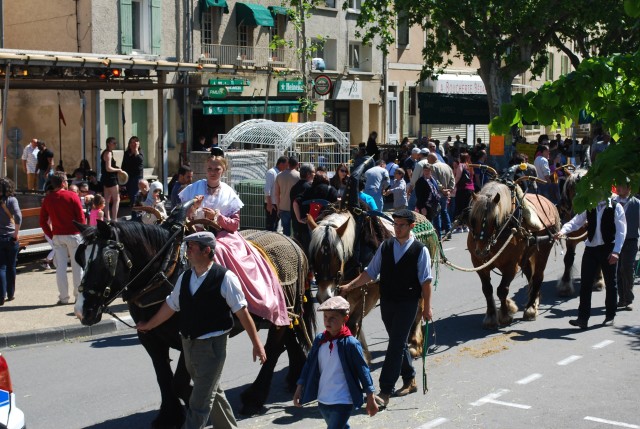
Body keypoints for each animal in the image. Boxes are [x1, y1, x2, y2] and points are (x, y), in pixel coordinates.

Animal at [74, 204, 314, 424]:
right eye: (80, 259)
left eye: (106, 259)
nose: (82, 311)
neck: (168, 269)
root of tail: (291, 240)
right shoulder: (149, 338)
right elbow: (163, 377)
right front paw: (169, 415)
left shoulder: (189, 335)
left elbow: (179, 382)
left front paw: (199, 403)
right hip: (281, 313)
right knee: (288, 340)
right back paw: (295, 377)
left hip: (280, 312)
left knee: (273, 349)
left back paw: (254, 398)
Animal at [464, 181, 560, 328]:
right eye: (473, 220)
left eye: (494, 220)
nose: (481, 251)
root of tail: (549, 202)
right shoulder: (478, 264)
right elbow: (487, 289)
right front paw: (491, 316)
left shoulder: (511, 265)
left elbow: (502, 289)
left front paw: (504, 315)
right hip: (526, 256)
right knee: (530, 276)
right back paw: (533, 302)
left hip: (543, 249)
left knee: (538, 276)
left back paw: (531, 309)